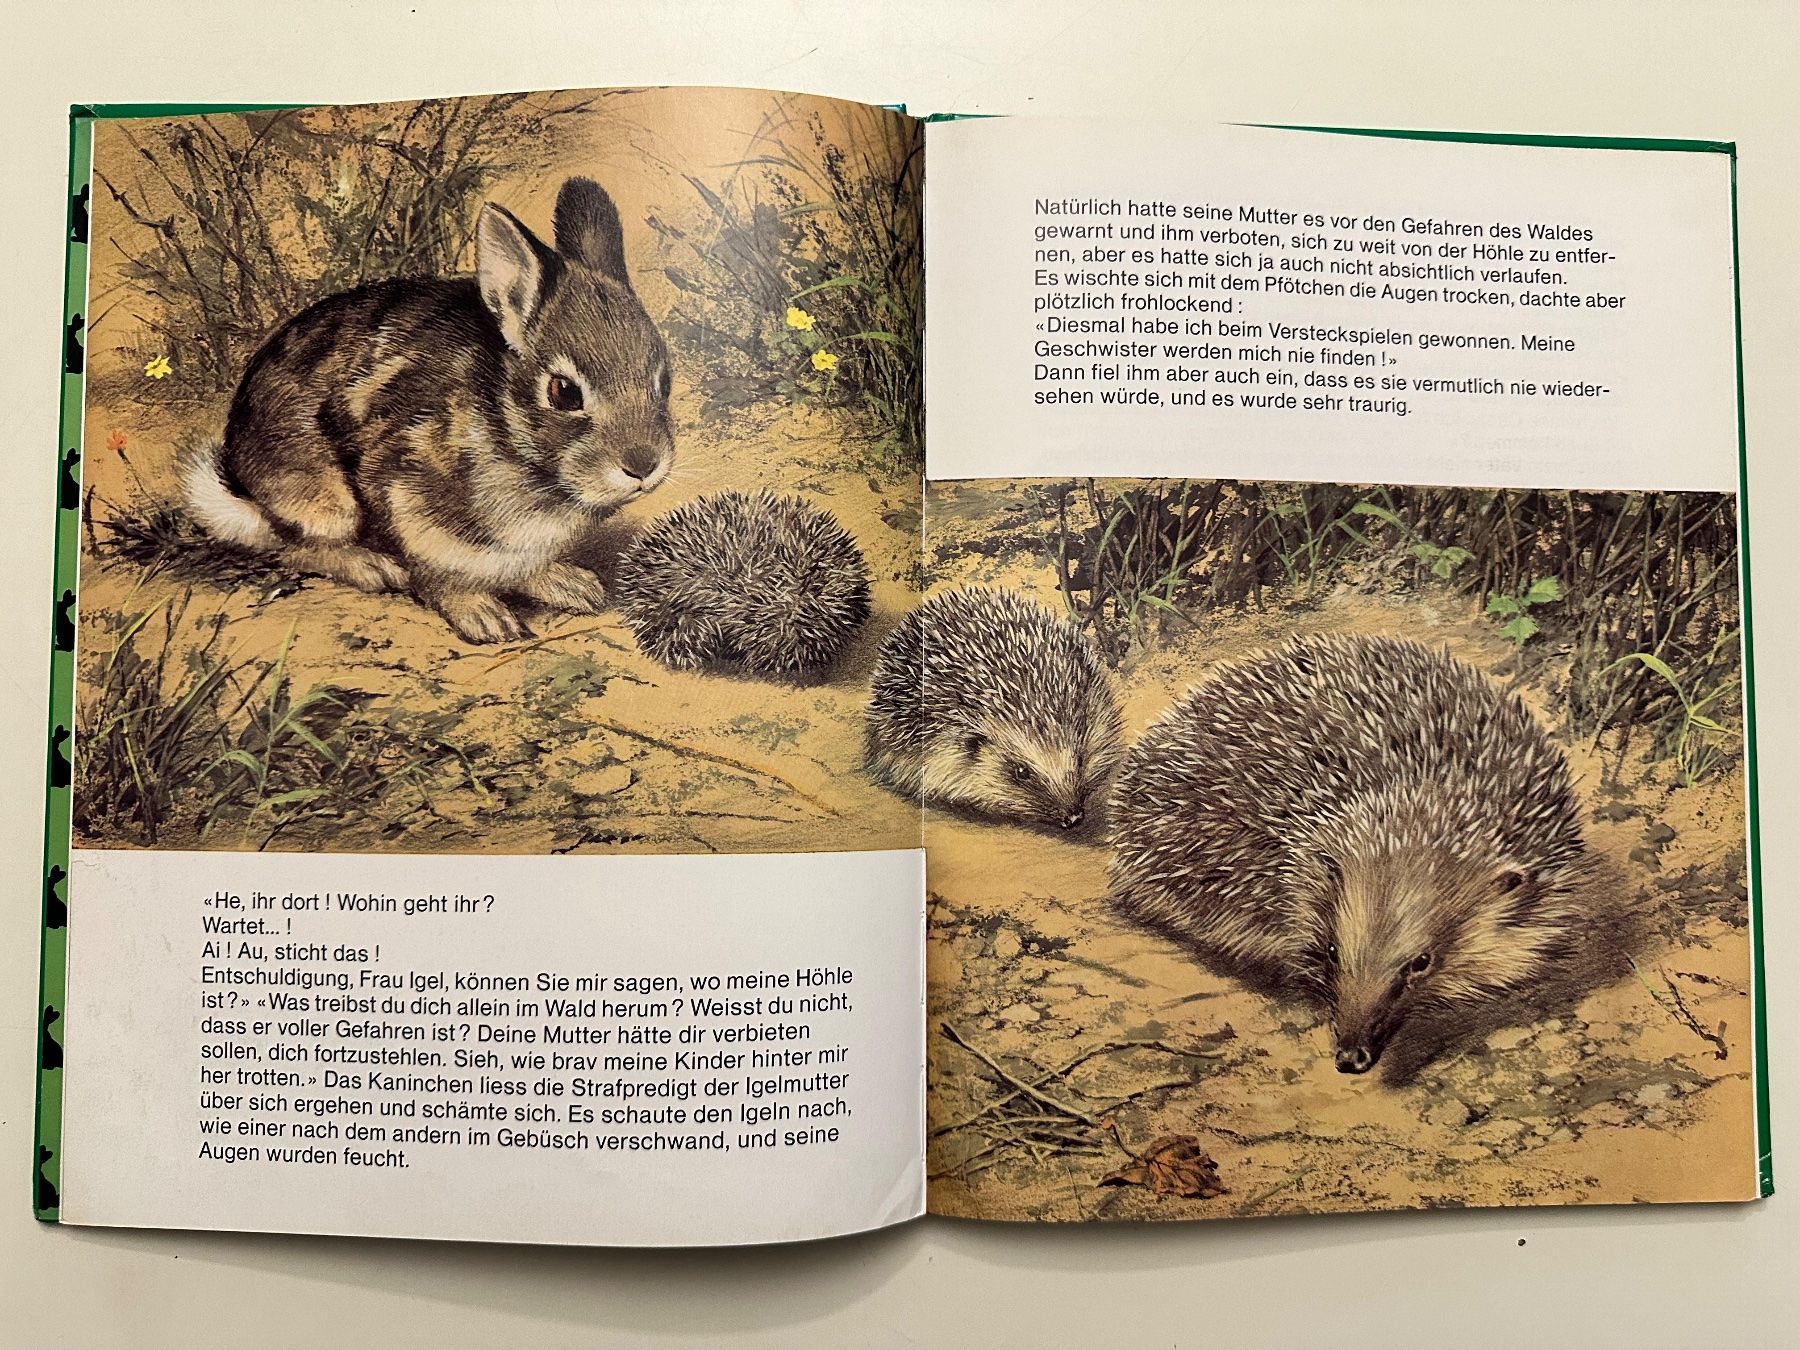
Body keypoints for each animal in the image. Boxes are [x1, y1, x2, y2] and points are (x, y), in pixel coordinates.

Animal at [181, 177, 675, 643]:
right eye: (564, 392)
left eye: (663, 379)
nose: (643, 465)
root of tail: (244, 482)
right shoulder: (404, 499)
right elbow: (434, 575)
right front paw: (483, 617)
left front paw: (570, 585)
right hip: (324, 499)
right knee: (292, 548)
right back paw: (371, 568)